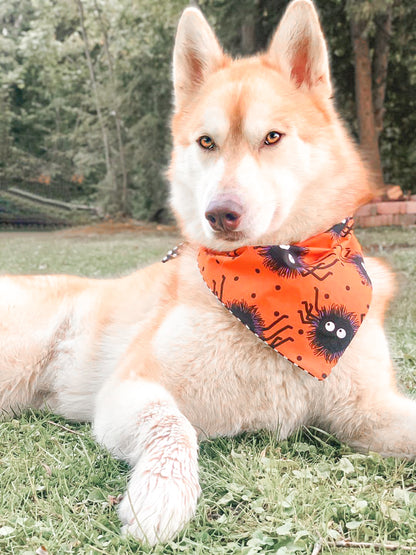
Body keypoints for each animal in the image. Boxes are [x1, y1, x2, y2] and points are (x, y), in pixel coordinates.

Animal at [1, 0, 414, 548]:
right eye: (206, 142)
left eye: (272, 137)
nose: (220, 213)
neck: (280, 276)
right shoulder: (130, 389)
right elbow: (173, 426)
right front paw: (162, 494)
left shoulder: (372, 411)